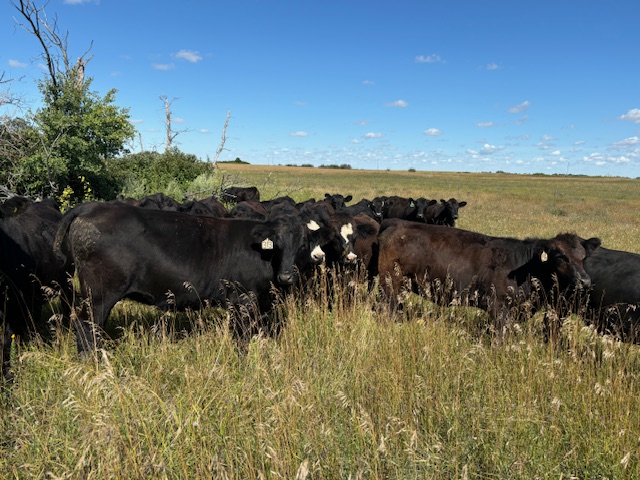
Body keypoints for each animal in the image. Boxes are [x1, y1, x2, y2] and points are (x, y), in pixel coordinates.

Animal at [53, 202, 330, 354]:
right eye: (277, 244)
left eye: (303, 244)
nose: (286, 277)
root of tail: (92, 206)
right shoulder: (243, 300)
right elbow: (242, 339)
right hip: (99, 295)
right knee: (87, 328)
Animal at [376, 219, 601, 334]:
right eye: (561, 257)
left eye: (583, 257)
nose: (585, 281)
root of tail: (397, 225)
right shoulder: (498, 306)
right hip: (391, 282)